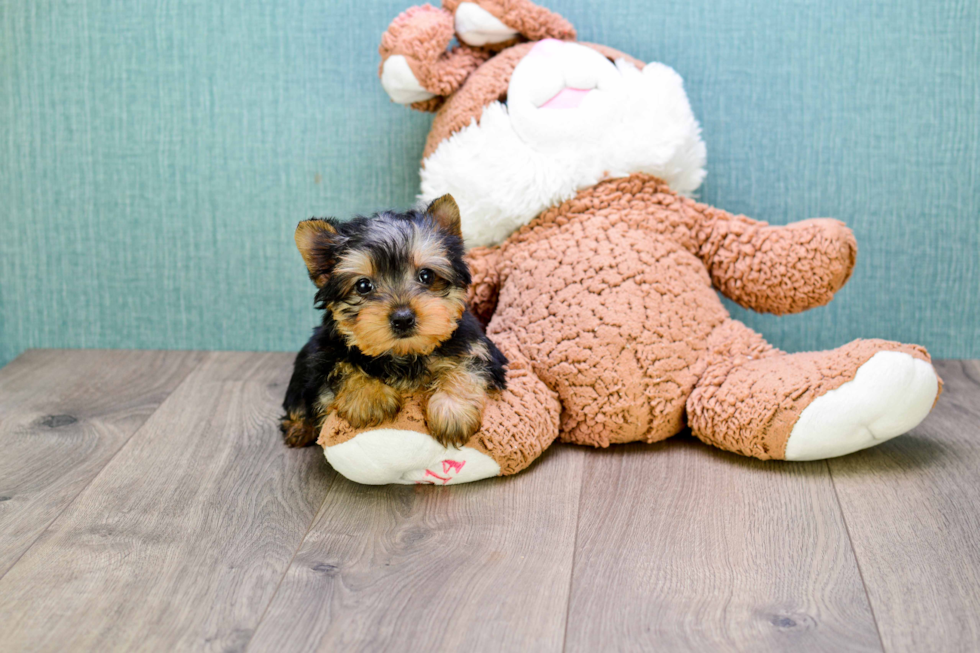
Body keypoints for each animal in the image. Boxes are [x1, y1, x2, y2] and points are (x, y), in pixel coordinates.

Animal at [276, 192, 506, 448]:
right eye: (363, 286)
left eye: (426, 275)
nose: (403, 319)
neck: (404, 354)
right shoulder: (322, 352)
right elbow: (340, 366)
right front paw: (370, 396)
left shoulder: (478, 345)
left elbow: (468, 365)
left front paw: (451, 409)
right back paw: (298, 428)